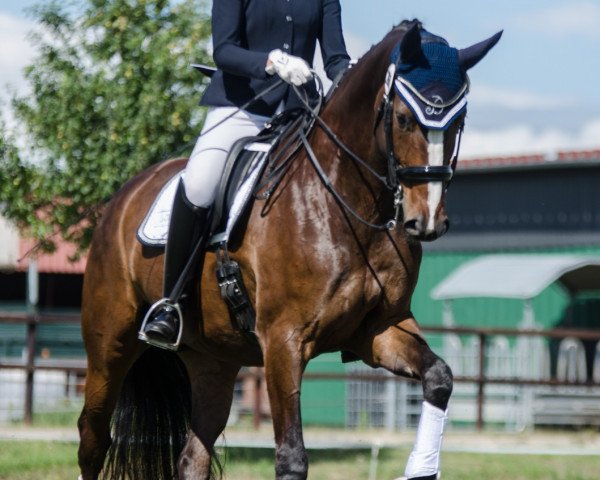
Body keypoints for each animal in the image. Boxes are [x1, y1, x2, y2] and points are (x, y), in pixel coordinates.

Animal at [77, 19, 500, 480]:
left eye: (460, 121)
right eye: (404, 119)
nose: (426, 221)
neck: (348, 203)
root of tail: (122, 197)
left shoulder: (379, 329)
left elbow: (439, 377)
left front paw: (421, 467)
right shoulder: (283, 341)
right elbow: (292, 458)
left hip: (214, 360)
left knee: (192, 456)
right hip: (110, 345)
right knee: (93, 438)